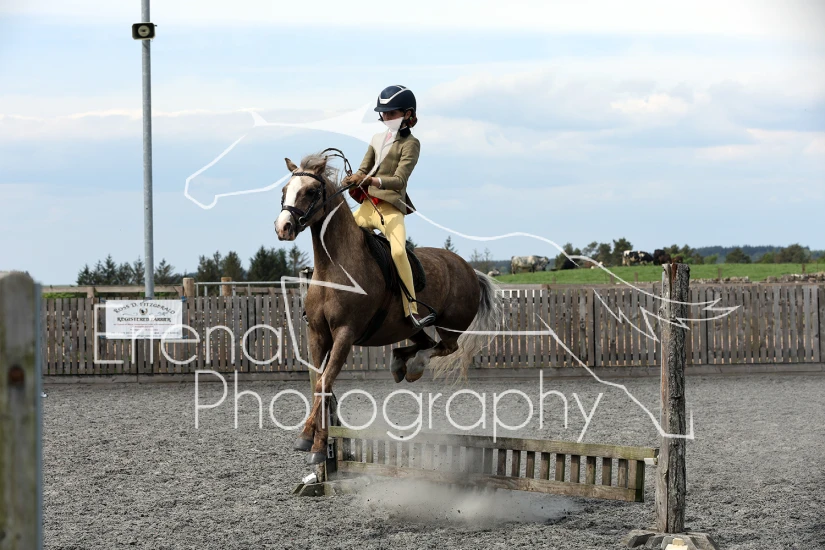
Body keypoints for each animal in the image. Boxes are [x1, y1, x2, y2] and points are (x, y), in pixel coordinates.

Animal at [274, 152, 503, 464]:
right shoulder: (317, 334)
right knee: (424, 343)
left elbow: (323, 384)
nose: (283, 227)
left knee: (444, 347)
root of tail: (469, 269)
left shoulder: (345, 335)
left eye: (310, 191)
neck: (334, 266)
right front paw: (311, 439)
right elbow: (321, 384)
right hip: (410, 326)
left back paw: (415, 366)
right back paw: (399, 364)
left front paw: (315, 445)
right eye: (285, 191)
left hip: (450, 326)